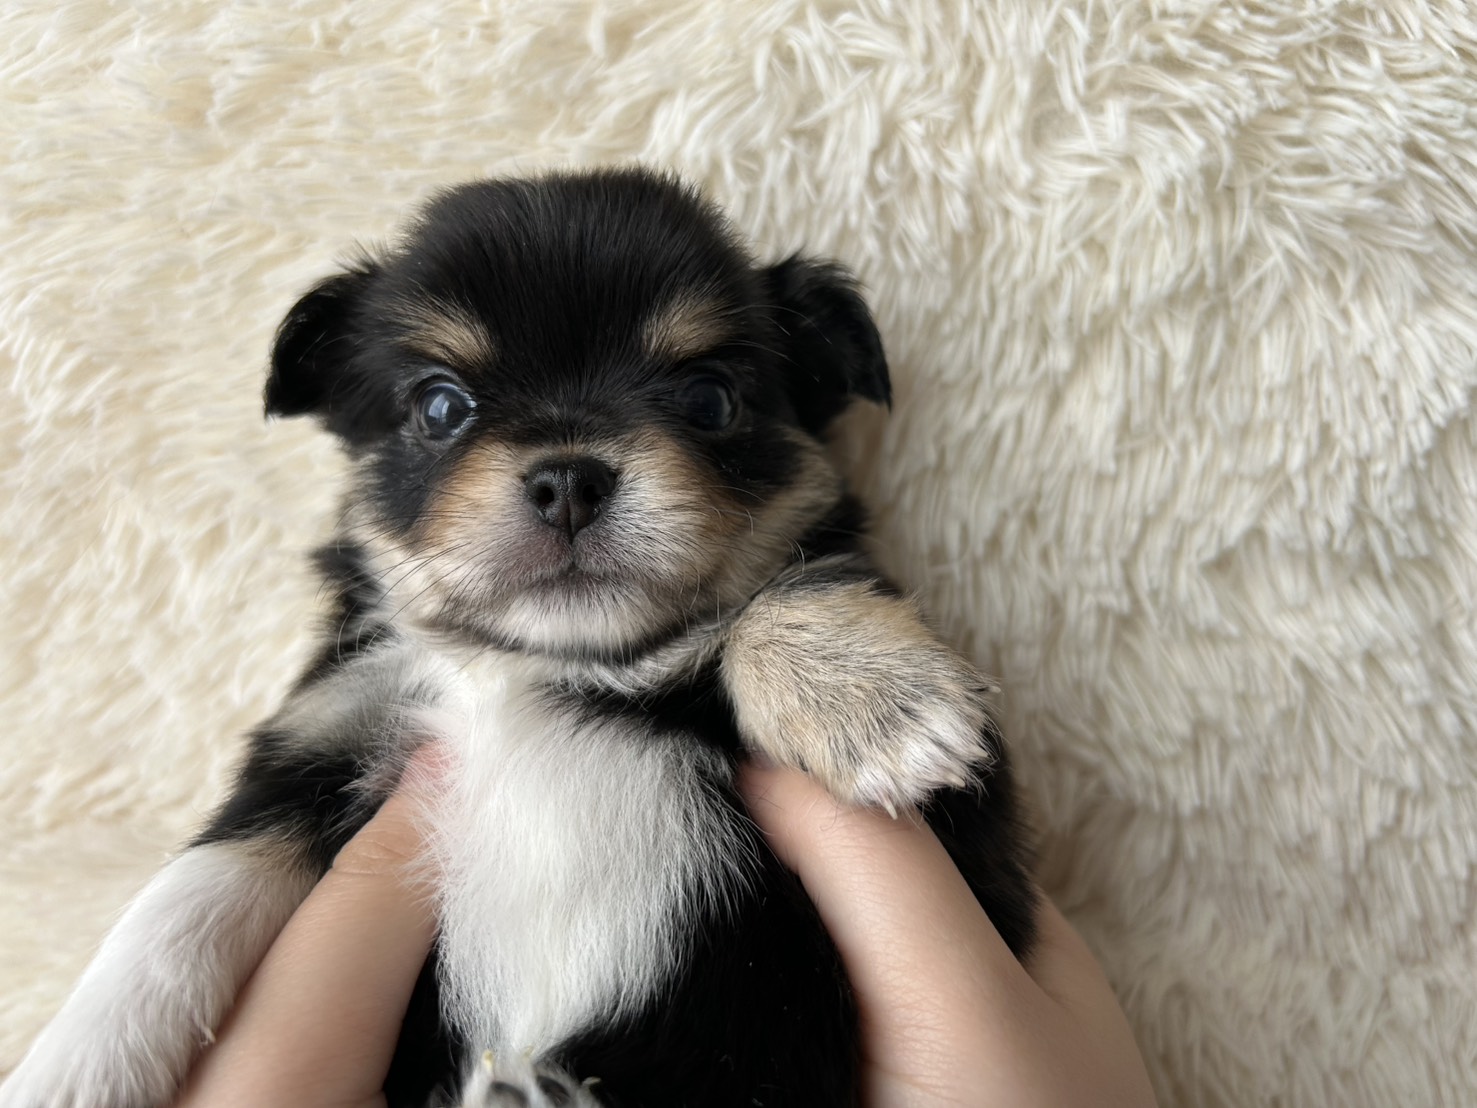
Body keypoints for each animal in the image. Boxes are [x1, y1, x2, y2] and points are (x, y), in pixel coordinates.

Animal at [0, 167, 1036, 1108]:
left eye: (709, 399)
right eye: (439, 407)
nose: (567, 477)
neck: (533, 670)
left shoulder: (976, 853)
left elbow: (777, 591)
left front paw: (871, 699)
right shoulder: (314, 744)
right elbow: (183, 904)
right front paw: (71, 1066)